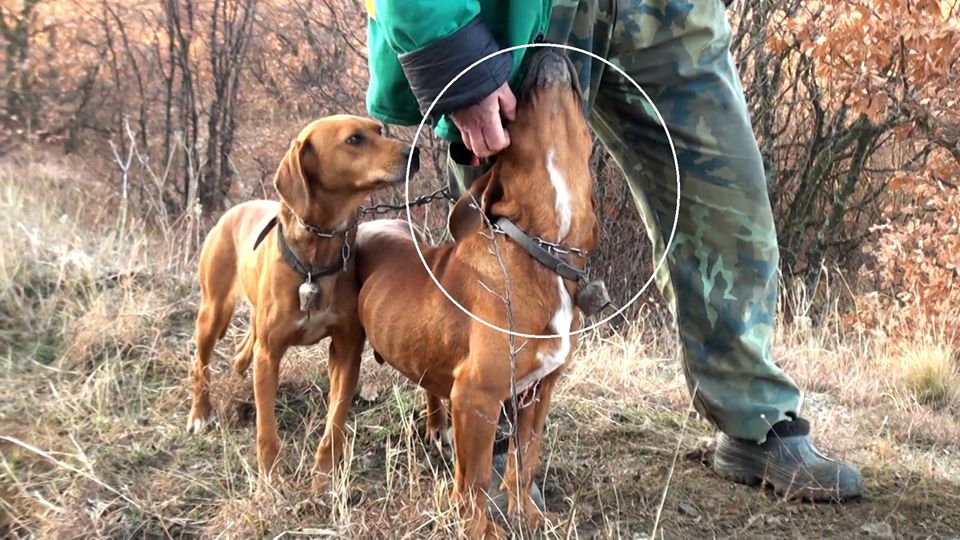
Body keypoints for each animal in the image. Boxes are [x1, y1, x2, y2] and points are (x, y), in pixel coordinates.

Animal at [186, 116, 418, 478]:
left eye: (379, 129)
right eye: (354, 139)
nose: (415, 152)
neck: (316, 250)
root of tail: (231, 210)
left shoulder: (346, 350)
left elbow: (336, 417)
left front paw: (324, 471)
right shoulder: (269, 355)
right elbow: (266, 426)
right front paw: (270, 473)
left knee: (241, 350)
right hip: (213, 311)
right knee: (201, 363)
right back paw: (199, 413)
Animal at [348, 51, 596, 536]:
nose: (546, 48)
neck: (539, 249)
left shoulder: (539, 393)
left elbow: (525, 461)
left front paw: (529, 515)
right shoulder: (477, 396)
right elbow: (476, 479)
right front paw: (480, 528)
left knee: (429, 388)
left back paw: (434, 430)